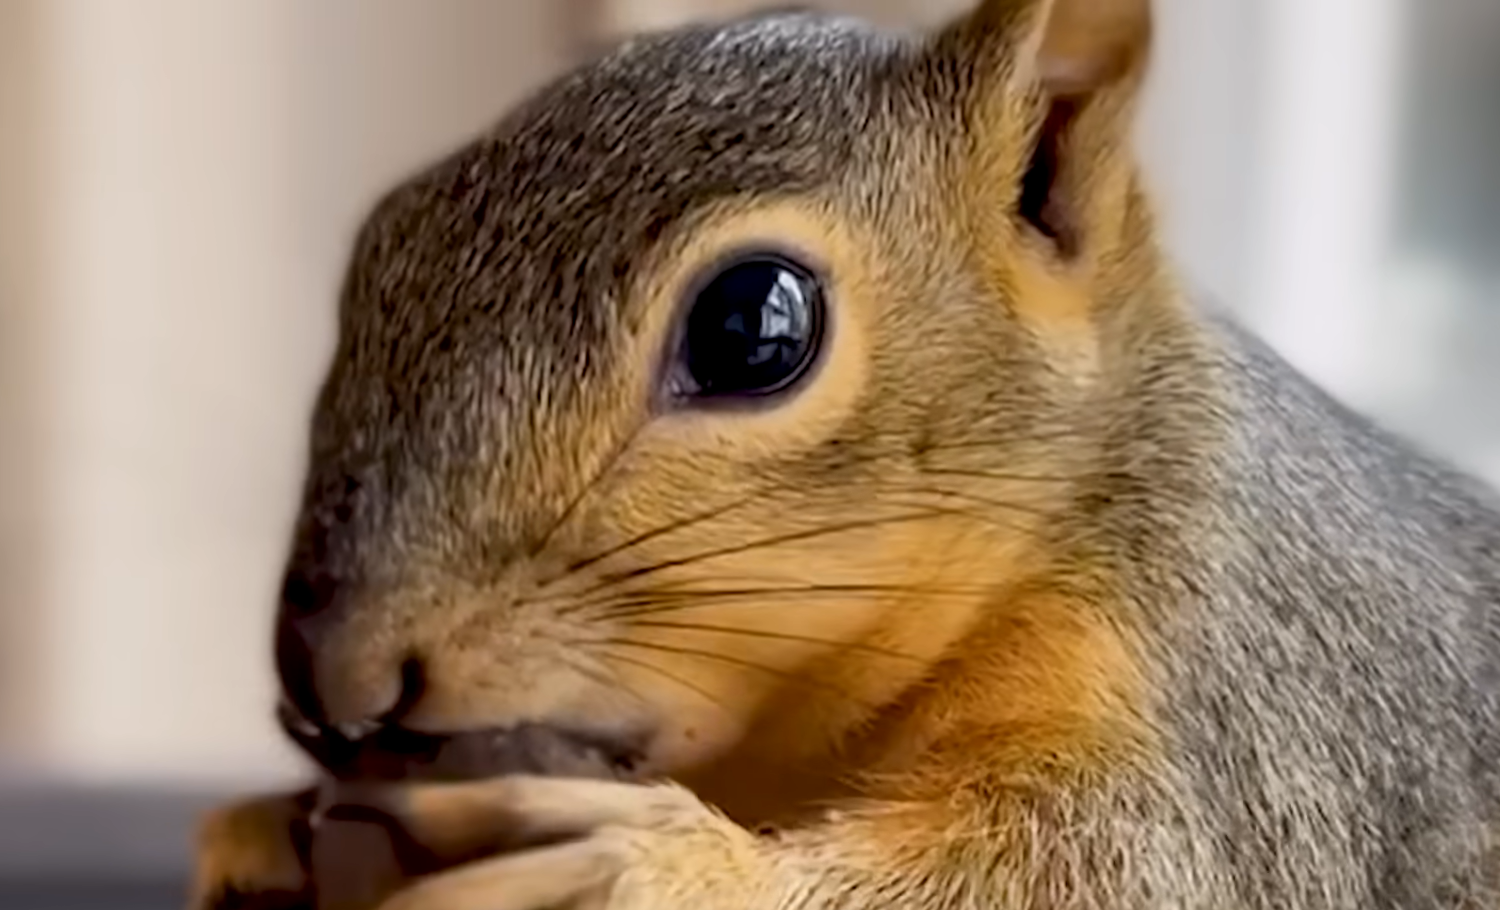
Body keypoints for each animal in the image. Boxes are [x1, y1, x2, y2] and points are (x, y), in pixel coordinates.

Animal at [189, 1, 1500, 908]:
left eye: (751, 326)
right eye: (379, 244)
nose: (335, 679)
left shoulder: (1245, 723)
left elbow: (1098, 872)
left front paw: (637, 862)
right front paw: (257, 839)